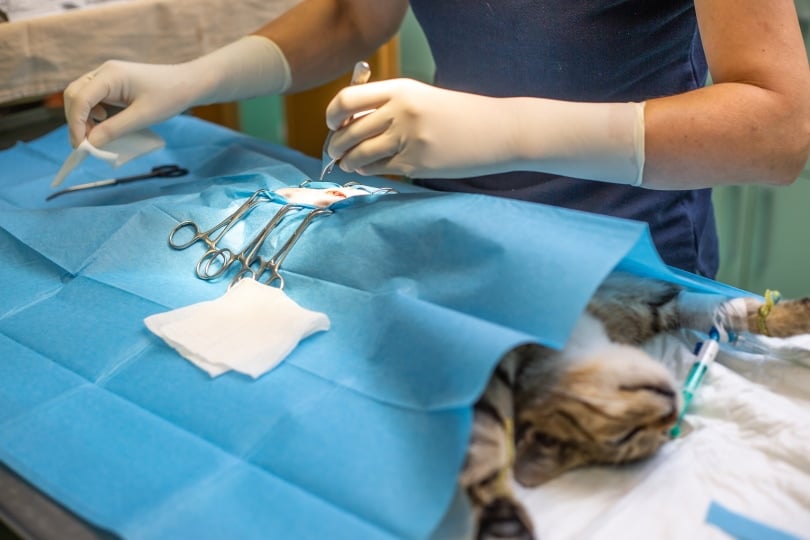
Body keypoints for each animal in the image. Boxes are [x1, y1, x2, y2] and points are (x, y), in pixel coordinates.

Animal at [458, 274, 808, 540]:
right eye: (627, 437)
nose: (673, 413)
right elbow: (486, 439)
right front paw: (500, 513)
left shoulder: (649, 297)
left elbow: (710, 305)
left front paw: (779, 315)